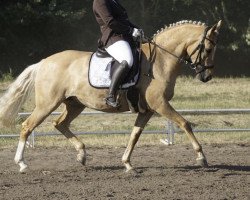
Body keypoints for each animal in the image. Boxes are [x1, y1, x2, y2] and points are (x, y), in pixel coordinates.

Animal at [0, 21, 223, 173]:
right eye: (208, 49)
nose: (207, 77)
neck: (160, 60)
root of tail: (43, 62)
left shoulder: (147, 110)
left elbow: (135, 135)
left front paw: (127, 164)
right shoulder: (160, 104)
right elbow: (185, 123)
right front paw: (201, 157)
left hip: (75, 104)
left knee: (60, 124)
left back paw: (82, 154)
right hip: (47, 104)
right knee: (27, 126)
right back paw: (22, 163)